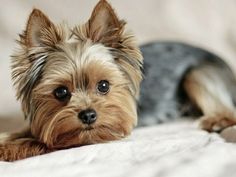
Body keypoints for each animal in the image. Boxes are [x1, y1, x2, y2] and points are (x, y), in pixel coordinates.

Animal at [0, 0, 236, 161]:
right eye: (61, 92)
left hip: (196, 74)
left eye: (103, 85)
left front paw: (9, 148)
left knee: (227, 112)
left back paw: (216, 120)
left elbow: (46, 141)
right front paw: (8, 139)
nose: (88, 115)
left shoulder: (100, 134)